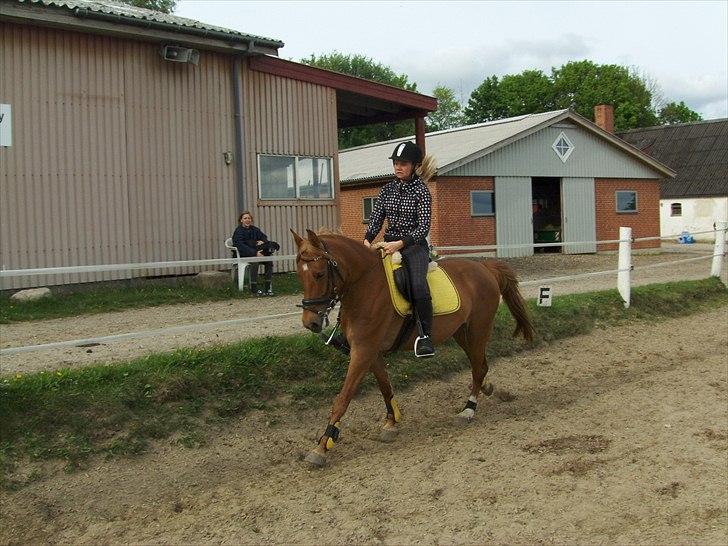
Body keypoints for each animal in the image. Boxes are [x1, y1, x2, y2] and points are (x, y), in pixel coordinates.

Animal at [290, 228, 536, 464]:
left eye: (319, 274)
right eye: (300, 275)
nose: (310, 323)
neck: (366, 286)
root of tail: (484, 267)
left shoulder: (363, 351)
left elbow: (343, 398)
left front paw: (322, 446)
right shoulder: (372, 352)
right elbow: (385, 387)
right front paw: (391, 423)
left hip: (478, 330)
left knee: (477, 367)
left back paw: (468, 410)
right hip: (460, 332)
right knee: (481, 365)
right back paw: (487, 387)